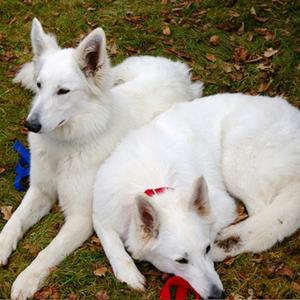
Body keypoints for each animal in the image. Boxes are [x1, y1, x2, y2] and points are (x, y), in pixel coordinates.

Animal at [1, 19, 203, 300]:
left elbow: (47, 252)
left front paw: (27, 279)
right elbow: (14, 221)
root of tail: (179, 70)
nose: (30, 125)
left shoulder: (81, 217)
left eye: (63, 91)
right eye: (40, 85)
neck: (64, 146)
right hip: (118, 74)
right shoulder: (40, 190)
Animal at [94, 93, 300, 298]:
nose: (218, 295)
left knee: (264, 215)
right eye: (181, 261)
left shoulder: (222, 205)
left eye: (206, 249)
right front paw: (128, 273)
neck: (154, 185)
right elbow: (112, 242)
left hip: (236, 162)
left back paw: (229, 243)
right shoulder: (100, 212)